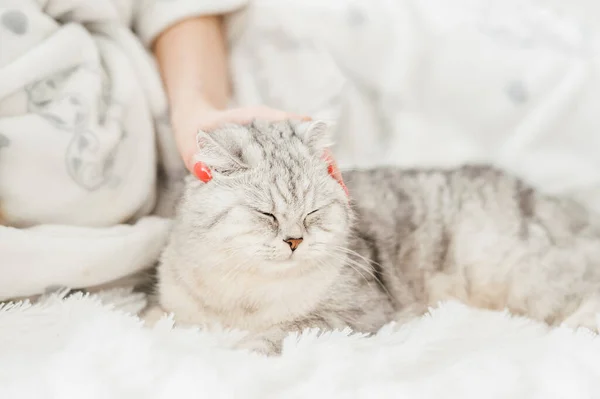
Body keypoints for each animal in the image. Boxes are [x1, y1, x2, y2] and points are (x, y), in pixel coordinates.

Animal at [148, 119, 600, 356]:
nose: (294, 241)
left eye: (312, 212)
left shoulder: (354, 312)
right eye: (267, 215)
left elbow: (283, 330)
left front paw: (244, 351)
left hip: (521, 272)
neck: (246, 295)